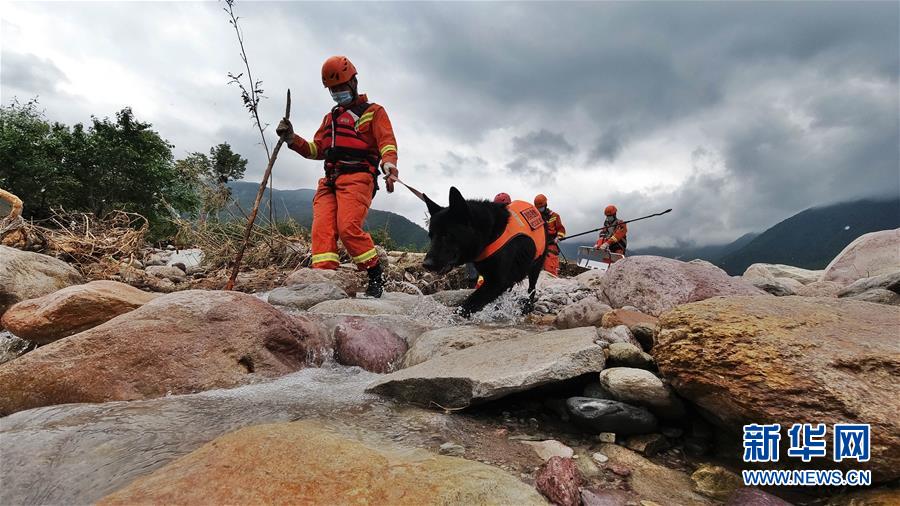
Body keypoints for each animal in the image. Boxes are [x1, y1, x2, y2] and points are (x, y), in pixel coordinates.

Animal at [424, 188, 548, 316]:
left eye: (446, 235)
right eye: (431, 236)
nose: (426, 264)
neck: (491, 233)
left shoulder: (497, 282)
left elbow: (469, 303)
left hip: (535, 265)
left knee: (532, 288)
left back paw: (527, 306)